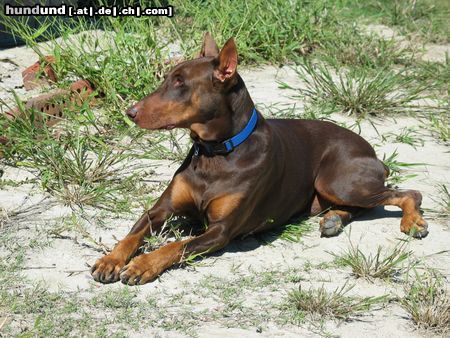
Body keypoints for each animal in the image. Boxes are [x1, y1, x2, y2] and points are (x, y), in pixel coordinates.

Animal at [89, 33, 428, 286]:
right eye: (166, 79)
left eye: (181, 83)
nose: (130, 112)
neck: (216, 152)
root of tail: (373, 154)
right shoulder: (162, 209)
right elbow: (133, 234)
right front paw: (111, 259)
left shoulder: (221, 231)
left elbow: (177, 246)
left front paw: (142, 265)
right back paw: (333, 219)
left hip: (336, 180)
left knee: (409, 193)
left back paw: (412, 222)